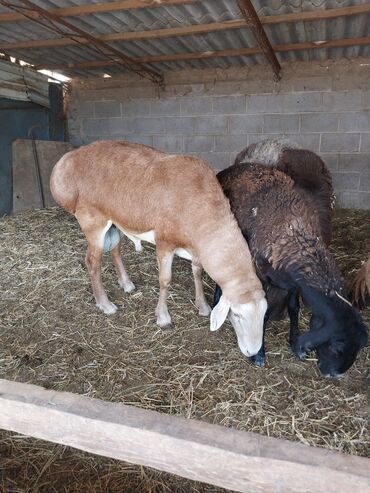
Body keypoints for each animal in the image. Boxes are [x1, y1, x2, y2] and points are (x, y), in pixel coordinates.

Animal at [214, 142, 368, 376]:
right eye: (337, 345)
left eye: (358, 349)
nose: (334, 375)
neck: (296, 235)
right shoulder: (260, 274)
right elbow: (264, 311)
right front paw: (259, 354)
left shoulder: (293, 284)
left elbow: (294, 308)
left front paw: (295, 343)